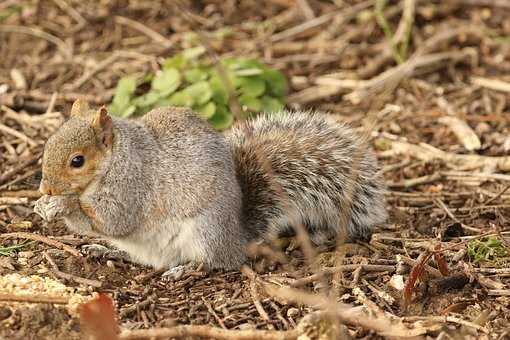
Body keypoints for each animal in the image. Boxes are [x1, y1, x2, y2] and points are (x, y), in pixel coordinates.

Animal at [34, 100, 386, 270]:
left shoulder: (131, 187)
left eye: (77, 161)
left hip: (207, 231)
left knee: (216, 263)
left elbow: (112, 220)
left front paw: (64, 204)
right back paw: (108, 251)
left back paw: (186, 269)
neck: (117, 158)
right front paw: (43, 205)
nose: (46, 189)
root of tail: (238, 236)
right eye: (47, 144)